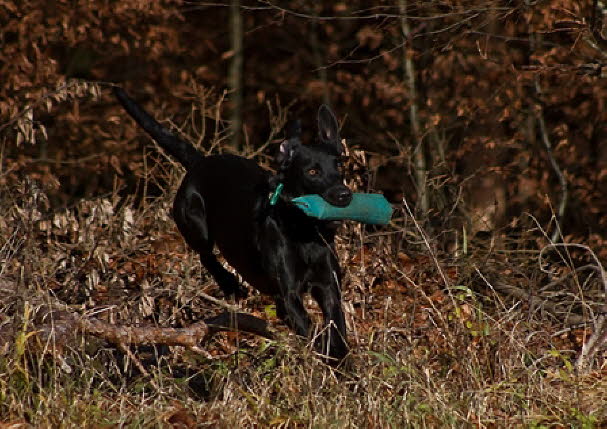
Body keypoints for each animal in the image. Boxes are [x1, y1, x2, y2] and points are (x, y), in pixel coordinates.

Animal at [114, 87, 354, 362]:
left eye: (339, 165)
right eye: (312, 172)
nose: (344, 195)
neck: (304, 231)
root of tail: (200, 161)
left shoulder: (329, 286)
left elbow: (337, 328)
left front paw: (343, 364)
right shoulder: (288, 298)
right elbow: (312, 331)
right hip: (193, 220)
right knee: (205, 254)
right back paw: (230, 284)